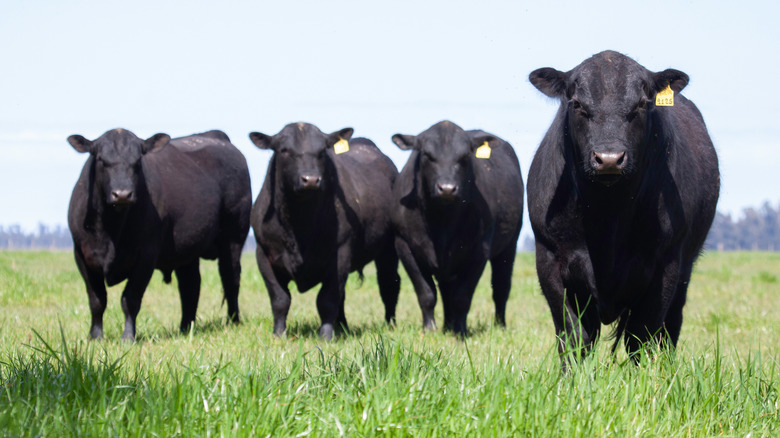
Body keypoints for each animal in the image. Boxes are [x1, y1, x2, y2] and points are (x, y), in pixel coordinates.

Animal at [68, 128, 253, 340]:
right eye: (100, 159)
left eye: (137, 160)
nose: (122, 194)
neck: (110, 230)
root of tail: (216, 136)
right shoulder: (82, 254)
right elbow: (97, 300)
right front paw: (95, 336)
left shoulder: (146, 255)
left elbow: (130, 299)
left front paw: (128, 337)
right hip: (187, 248)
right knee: (191, 286)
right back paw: (185, 327)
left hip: (233, 238)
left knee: (230, 278)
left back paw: (233, 321)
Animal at [250, 121, 400, 340]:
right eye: (284, 150)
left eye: (322, 151)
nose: (310, 179)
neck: (299, 225)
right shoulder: (263, 254)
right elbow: (279, 299)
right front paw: (279, 334)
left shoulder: (340, 254)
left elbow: (327, 300)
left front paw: (326, 336)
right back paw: (343, 326)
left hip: (388, 249)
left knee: (389, 284)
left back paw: (390, 325)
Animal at [390, 121, 524, 338]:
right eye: (427, 154)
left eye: (465, 156)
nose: (447, 188)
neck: (442, 222)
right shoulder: (404, 245)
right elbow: (426, 293)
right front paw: (430, 329)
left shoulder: (479, 250)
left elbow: (462, 296)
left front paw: (460, 332)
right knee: (446, 290)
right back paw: (447, 325)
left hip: (510, 244)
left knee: (501, 287)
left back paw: (499, 325)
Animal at [528, 50, 724, 360]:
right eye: (577, 104)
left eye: (642, 104)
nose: (609, 158)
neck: (608, 212)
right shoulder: (549, 259)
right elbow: (573, 336)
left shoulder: (665, 265)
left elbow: (641, 337)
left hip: (685, 270)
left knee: (671, 327)